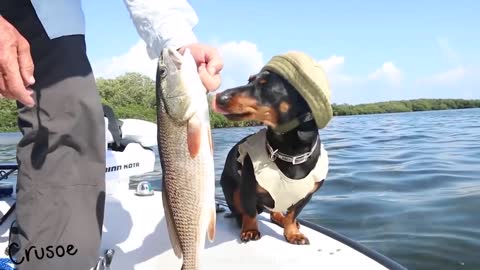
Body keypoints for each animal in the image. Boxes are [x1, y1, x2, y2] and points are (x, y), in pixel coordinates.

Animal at [212, 56, 332, 246]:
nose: (218, 98)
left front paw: (292, 233)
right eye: (249, 80)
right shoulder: (247, 189)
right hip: (231, 189)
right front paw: (250, 230)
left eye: (265, 85)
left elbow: (292, 215)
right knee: (240, 211)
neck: (290, 154)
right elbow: (249, 211)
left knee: (275, 212)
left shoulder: (306, 196)